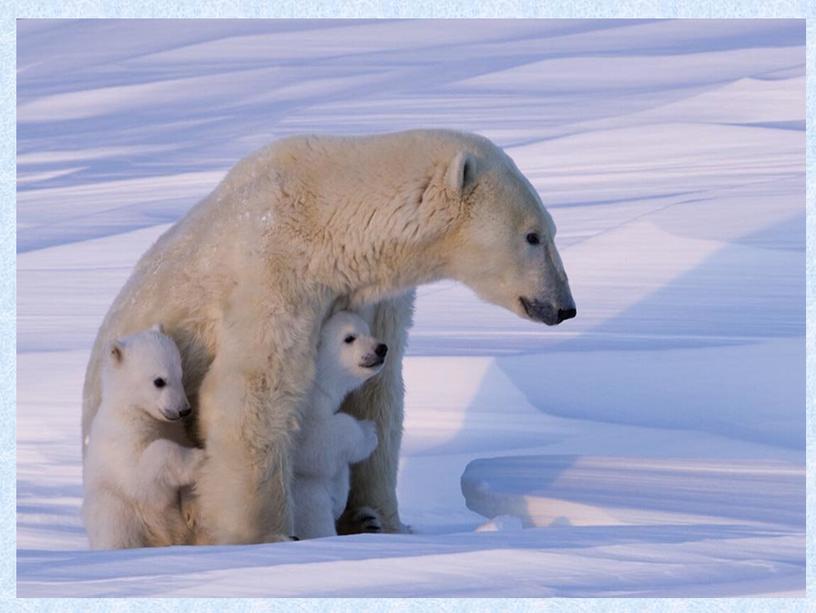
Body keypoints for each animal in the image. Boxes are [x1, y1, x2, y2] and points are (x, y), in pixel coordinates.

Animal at [81, 326, 206, 548]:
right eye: (159, 381)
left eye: (180, 374)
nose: (184, 410)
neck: (134, 410)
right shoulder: (122, 440)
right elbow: (143, 478)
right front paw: (200, 457)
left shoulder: (176, 430)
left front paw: (193, 508)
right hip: (118, 511)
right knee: (115, 525)